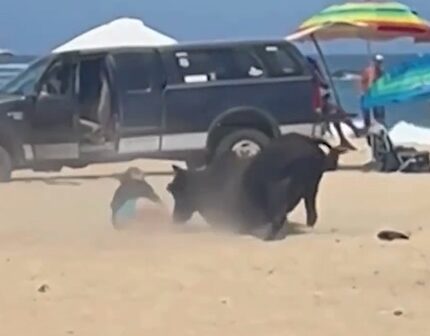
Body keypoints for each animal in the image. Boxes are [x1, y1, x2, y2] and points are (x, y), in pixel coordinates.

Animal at [166, 133, 348, 240]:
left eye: (176, 191)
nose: (175, 218)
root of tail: (308, 143)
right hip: (311, 187)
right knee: (311, 215)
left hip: (279, 187)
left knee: (279, 218)